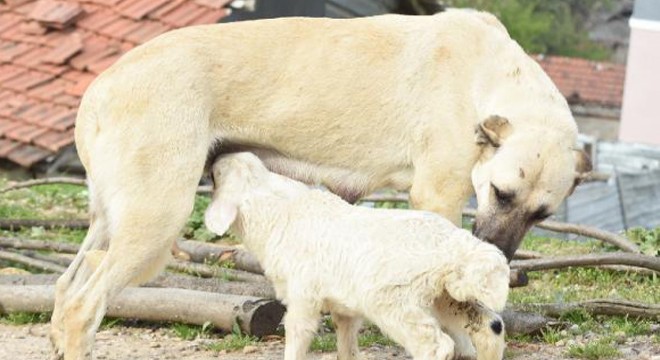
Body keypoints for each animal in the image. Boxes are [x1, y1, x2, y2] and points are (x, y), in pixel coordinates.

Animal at [206, 152, 510, 360]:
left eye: (218, 174)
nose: (217, 157)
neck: (279, 214)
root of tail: (459, 247)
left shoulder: (304, 295)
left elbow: (298, 335)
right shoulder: (344, 307)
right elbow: (347, 345)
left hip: (395, 300)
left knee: (435, 345)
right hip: (445, 296)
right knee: (490, 326)